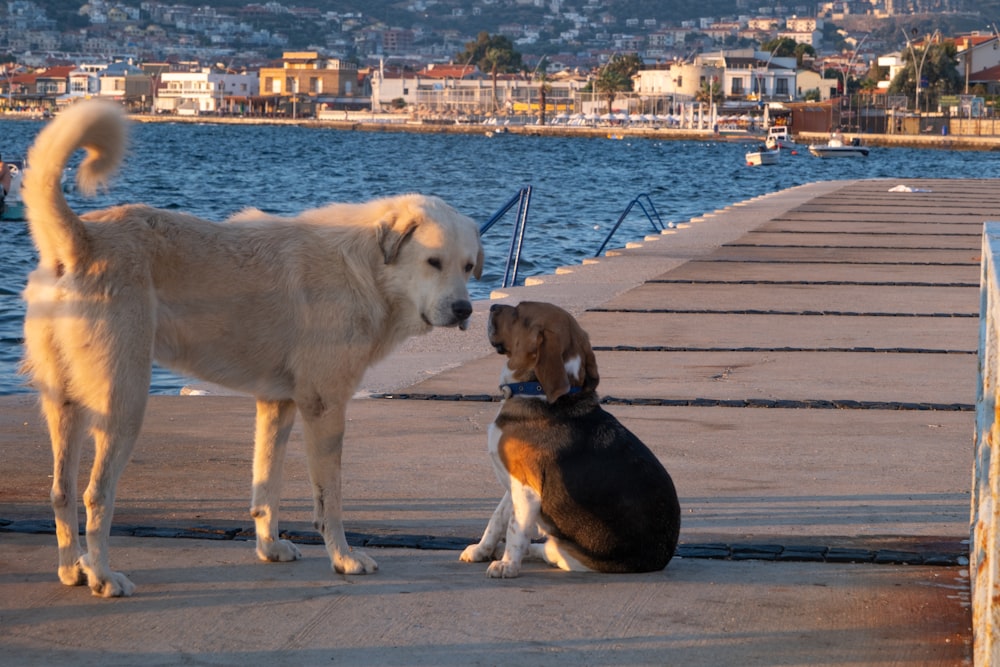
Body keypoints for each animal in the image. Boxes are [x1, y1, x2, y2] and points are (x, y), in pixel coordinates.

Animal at [18, 100, 480, 600]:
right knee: (96, 494)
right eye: (433, 262)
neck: (364, 266)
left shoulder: (277, 405)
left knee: (62, 491)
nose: (463, 310)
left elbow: (266, 487)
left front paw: (269, 547)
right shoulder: (324, 408)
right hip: (123, 404)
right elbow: (330, 499)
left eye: (468, 266)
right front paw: (343, 558)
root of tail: (82, 238)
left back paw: (73, 570)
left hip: (65, 406)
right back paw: (102, 575)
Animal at [460, 300, 680, 576]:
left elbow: (515, 529)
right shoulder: (513, 480)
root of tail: (660, 559)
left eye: (519, 312)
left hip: (568, 552)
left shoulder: (525, 486)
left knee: (548, 550)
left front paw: (508, 565)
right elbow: (497, 519)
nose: (493, 306)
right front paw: (482, 550)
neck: (535, 391)